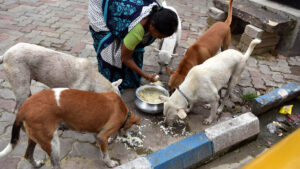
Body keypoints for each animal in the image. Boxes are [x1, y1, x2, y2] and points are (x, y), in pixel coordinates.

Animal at [0, 89, 140, 168]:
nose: (124, 135)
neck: (124, 110)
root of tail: (23, 109)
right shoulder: (103, 135)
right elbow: (105, 154)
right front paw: (110, 163)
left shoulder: (98, 133)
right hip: (53, 144)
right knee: (55, 165)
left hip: (35, 137)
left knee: (28, 155)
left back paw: (36, 164)